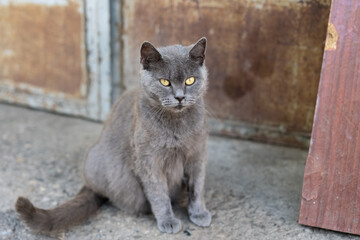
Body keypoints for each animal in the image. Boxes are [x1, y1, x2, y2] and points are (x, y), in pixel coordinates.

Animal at [15, 37, 211, 234]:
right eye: (164, 82)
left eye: (190, 80)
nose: (180, 97)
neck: (177, 125)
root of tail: (90, 184)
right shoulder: (148, 161)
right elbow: (158, 193)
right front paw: (168, 220)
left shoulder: (198, 154)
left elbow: (197, 187)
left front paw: (199, 214)